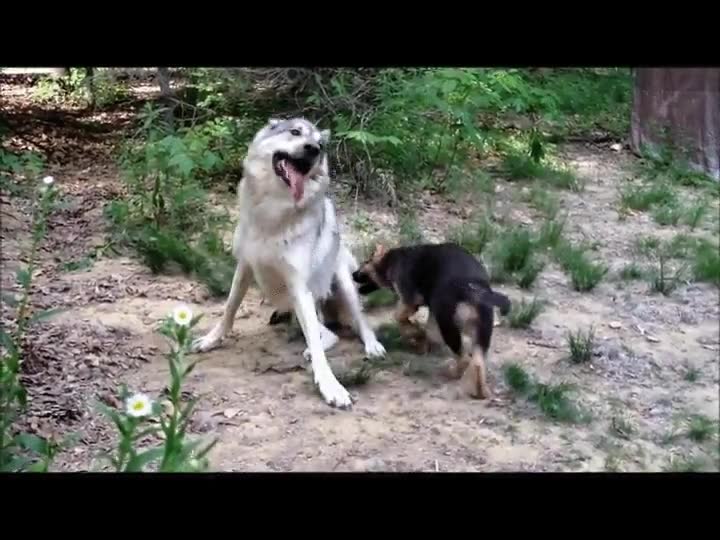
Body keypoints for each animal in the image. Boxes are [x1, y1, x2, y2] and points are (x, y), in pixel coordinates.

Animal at [191, 118, 386, 409]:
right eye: (295, 132)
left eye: (320, 144)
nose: (313, 149)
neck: (273, 212)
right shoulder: (244, 267)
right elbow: (229, 308)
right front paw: (211, 340)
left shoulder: (298, 286)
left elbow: (318, 345)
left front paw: (330, 386)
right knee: (326, 333)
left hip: (342, 284)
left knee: (354, 325)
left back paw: (370, 347)